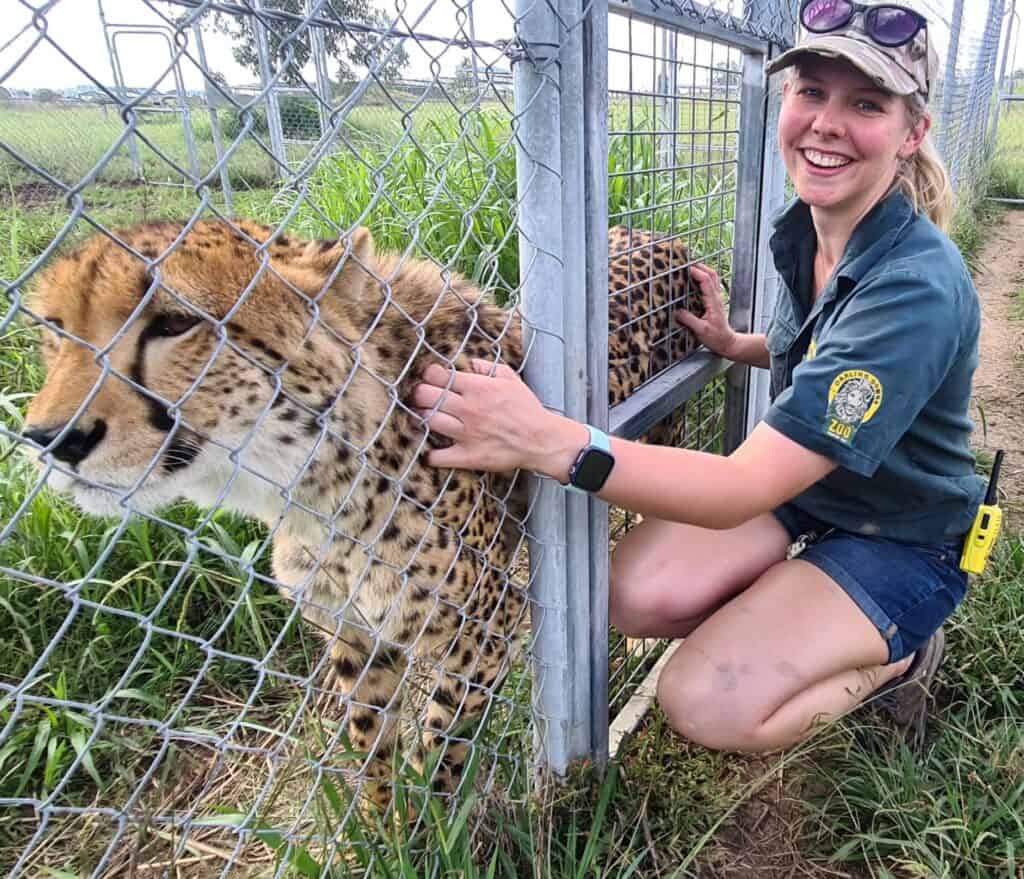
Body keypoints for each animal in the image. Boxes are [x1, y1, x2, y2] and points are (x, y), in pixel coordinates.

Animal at [24, 216, 700, 803]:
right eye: (54, 329)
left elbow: (439, 748)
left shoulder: (487, 623)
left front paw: (427, 832)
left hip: (662, 424)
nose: (50, 439)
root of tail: (654, 232)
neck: (315, 484)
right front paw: (384, 829)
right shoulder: (356, 633)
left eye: (172, 324)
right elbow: (370, 742)